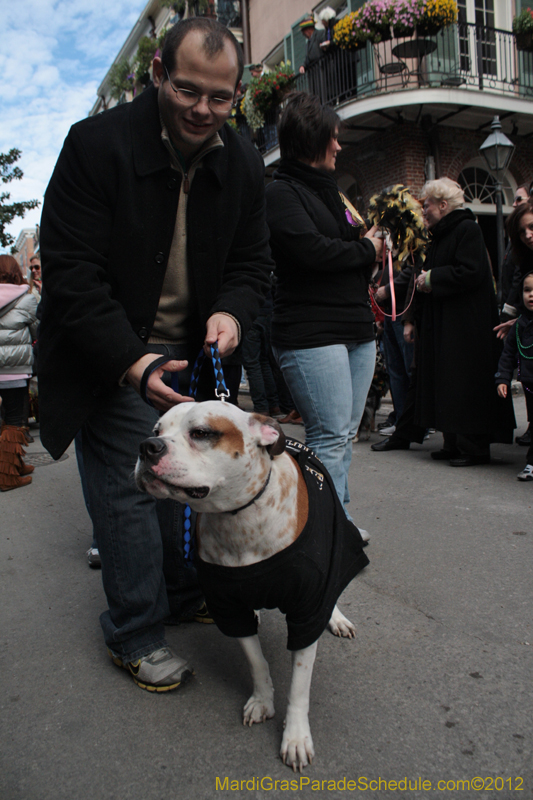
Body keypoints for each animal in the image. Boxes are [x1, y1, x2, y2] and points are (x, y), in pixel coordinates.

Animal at [135, 404, 368, 772]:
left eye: (201, 433)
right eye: (156, 429)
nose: (148, 446)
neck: (240, 518)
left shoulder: (306, 612)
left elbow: (299, 686)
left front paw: (296, 736)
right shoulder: (229, 609)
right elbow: (256, 661)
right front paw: (262, 700)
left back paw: (337, 618)